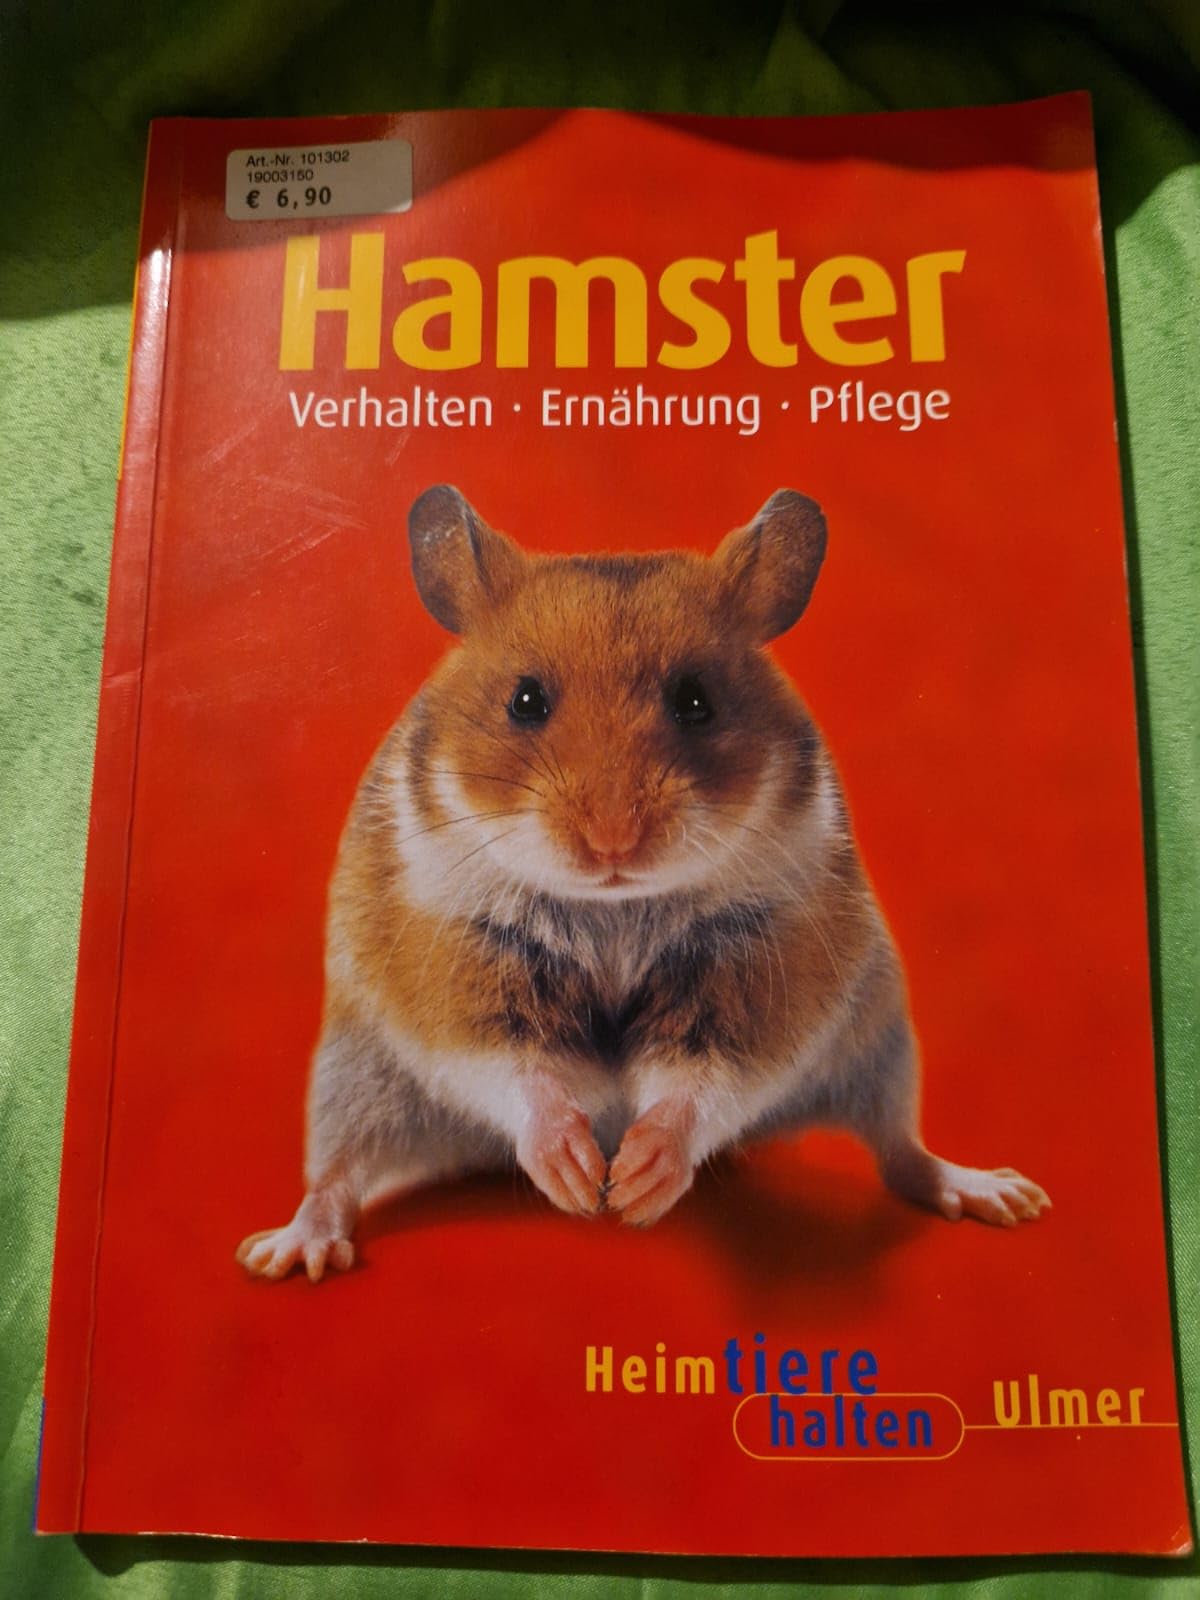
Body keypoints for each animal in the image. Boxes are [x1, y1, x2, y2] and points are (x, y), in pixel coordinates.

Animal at [238, 485, 1049, 1282]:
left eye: (695, 700)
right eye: (525, 701)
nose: (612, 842)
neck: (615, 908)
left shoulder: (760, 969)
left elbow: (705, 1080)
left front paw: (632, 1184)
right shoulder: (454, 964)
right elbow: (516, 1069)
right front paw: (577, 1179)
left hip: (878, 1041)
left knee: (898, 1149)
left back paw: (1004, 1195)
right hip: (355, 1076)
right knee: (338, 1173)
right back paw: (285, 1255)